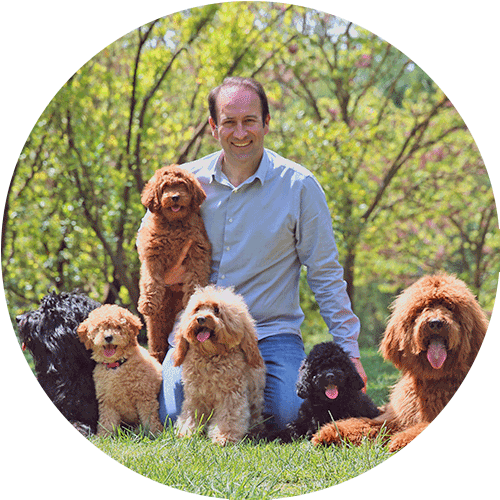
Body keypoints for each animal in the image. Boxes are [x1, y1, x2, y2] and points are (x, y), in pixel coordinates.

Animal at [78, 302, 163, 436]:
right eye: (98, 328)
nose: (108, 337)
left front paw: (155, 434)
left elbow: (150, 418)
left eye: (118, 327)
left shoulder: (145, 396)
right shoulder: (107, 401)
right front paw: (104, 436)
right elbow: (107, 421)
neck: (116, 366)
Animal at [138, 166, 212, 362]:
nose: (175, 197)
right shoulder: (152, 255)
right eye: (165, 187)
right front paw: (148, 302)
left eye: (182, 185)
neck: (174, 224)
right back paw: (156, 356)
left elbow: (195, 279)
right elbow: (150, 280)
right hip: (157, 317)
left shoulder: (197, 252)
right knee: (156, 335)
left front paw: (193, 299)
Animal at [172, 286, 266, 446]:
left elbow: (229, 418)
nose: (201, 318)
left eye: (217, 310)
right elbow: (191, 415)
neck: (211, 356)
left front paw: (224, 437)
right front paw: (187, 433)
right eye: (197, 309)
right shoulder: (194, 396)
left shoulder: (231, 396)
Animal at [312, 276, 488, 452]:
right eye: (422, 308)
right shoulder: (396, 417)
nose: (436, 323)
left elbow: (421, 426)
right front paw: (331, 432)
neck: (434, 378)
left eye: (450, 307)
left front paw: (402, 439)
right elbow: (367, 423)